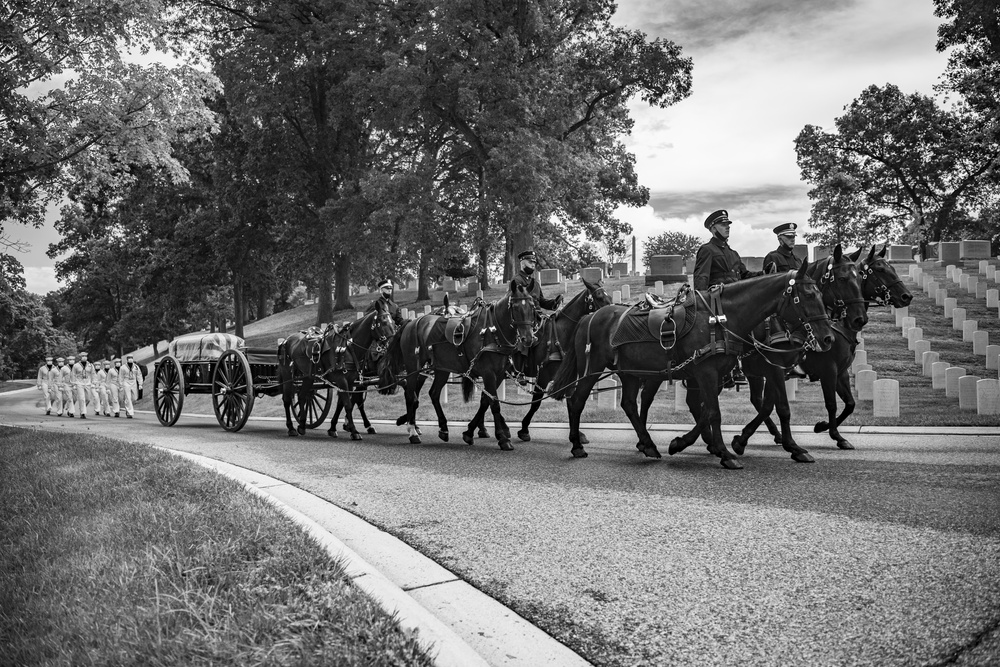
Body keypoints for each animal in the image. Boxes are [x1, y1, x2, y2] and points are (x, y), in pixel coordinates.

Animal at [280, 302, 396, 438]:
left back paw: (302, 425)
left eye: (393, 322)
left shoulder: (350, 381)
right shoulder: (341, 379)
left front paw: (335, 428)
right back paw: (291, 428)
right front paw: (354, 431)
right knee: (287, 400)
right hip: (287, 375)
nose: (393, 343)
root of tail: (286, 340)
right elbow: (348, 404)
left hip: (308, 376)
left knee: (303, 396)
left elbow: (344, 403)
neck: (348, 347)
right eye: (383, 322)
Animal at [376, 280, 536, 452]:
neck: (492, 331)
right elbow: (494, 403)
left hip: (441, 369)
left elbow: (485, 402)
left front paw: (470, 432)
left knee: (433, 393)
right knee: (410, 396)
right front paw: (502, 437)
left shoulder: (498, 374)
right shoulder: (488, 373)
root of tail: (411, 323)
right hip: (413, 367)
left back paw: (443, 428)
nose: (528, 339)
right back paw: (413, 431)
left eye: (532, 306)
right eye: (515, 307)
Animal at [552, 262, 832, 470]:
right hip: (593, 369)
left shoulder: (728, 374)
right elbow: (715, 412)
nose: (828, 337)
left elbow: (766, 407)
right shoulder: (710, 372)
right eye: (808, 296)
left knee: (629, 404)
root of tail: (590, 316)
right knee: (577, 401)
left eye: (821, 293)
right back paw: (577, 445)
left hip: (632, 371)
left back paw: (648, 444)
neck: (720, 318)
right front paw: (726, 452)